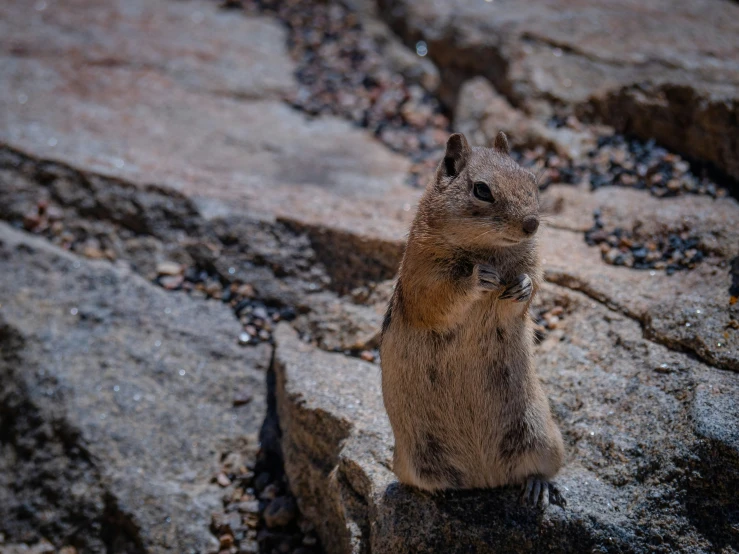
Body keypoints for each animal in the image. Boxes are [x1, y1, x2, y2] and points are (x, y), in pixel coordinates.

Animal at [382, 132, 568, 506]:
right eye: (482, 190)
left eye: (532, 180)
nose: (531, 224)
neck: (490, 251)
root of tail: (485, 478)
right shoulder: (423, 276)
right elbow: (439, 298)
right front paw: (477, 278)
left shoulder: (532, 264)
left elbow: (528, 289)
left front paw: (523, 286)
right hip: (410, 461)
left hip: (544, 438)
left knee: (539, 468)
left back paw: (537, 487)